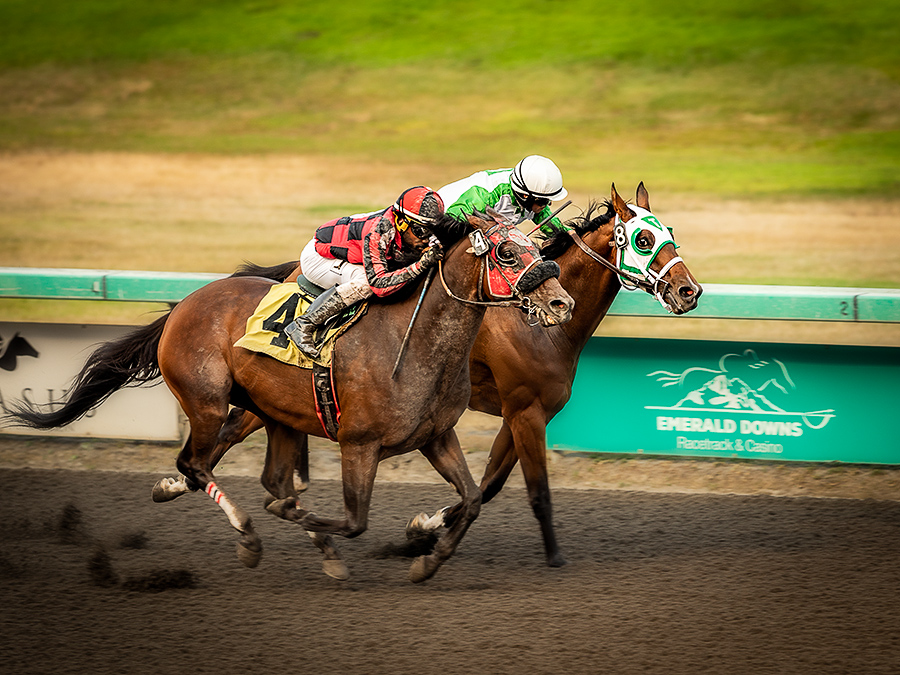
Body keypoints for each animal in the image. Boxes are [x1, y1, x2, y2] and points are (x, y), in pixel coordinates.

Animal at [3, 210, 572, 580]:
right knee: (197, 464)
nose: (560, 301)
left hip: (274, 412)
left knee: (266, 476)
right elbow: (354, 520)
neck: (412, 344)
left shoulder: (436, 436)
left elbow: (472, 499)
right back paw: (248, 535)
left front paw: (427, 559)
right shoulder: (359, 444)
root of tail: (184, 303)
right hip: (206, 401)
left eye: (538, 246)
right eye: (506, 251)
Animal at [206, 182, 704, 568]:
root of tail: (289, 274)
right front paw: (554, 555)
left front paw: (421, 531)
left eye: (671, 233)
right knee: (224, 434)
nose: (690, 291)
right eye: (643, 239)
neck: (536, 327)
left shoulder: (522, 413)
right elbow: (535, 491)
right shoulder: (526, 411)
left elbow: (487, 485)